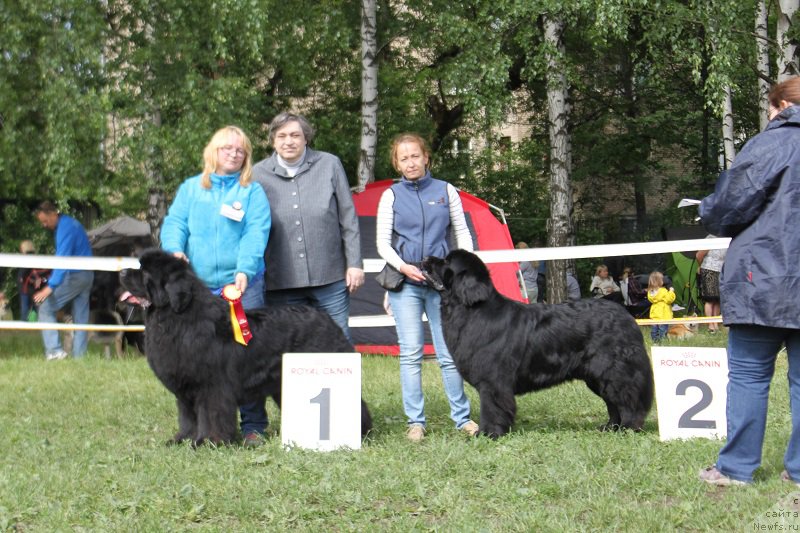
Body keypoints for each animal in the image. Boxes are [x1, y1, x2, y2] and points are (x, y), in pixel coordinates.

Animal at [120, 249, 374, 444]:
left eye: (144, 272)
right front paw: (182, 439)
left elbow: (210, 415)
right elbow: (187, 417)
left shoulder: (211, 386)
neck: (177, 317)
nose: (121, 272)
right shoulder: (185, 388)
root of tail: (325, 317)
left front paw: (208, 441)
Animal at [422, 249, 652, 436]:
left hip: (614, 372)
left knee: (627, 400)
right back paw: (610, 427)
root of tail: (627, 317)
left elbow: (491, 408)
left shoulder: (492, 381)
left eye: (446, 261)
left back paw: (628, 428)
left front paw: (488, 433)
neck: (470, 309)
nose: (424, 258)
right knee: (613, 403)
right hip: (597, 376)